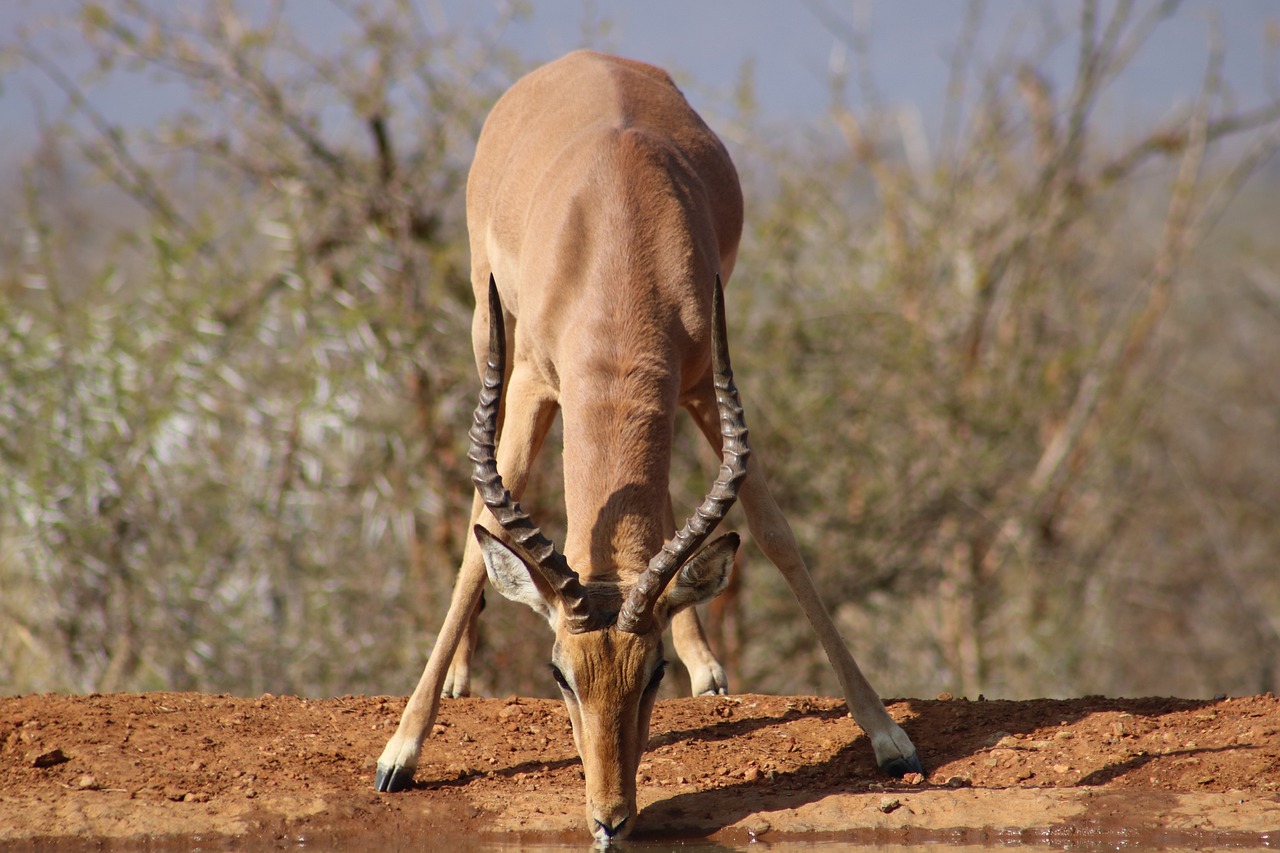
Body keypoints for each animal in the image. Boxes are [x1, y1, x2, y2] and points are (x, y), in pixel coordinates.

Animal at [373, 49, 921, 840]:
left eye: (652, 671)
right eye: (559, 674)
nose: (610, 821)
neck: (614, 231)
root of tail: (580, 60)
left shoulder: (701, 383)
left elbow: (774, 533)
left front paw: (888, 735)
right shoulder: (533, 380)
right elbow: (478, 540)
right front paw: (399, 754)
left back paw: (710, 667)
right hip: (488, 331)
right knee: (482, 523)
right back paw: (459, 678)